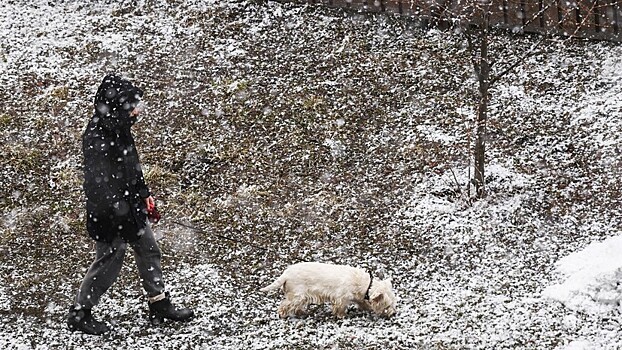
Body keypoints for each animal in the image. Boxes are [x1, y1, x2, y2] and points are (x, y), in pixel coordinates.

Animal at [260, 262, 398, 318]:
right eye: (388, 305)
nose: (394, 313)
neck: (365, 285)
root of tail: (286, 274)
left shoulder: (359, 297)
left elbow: (364, 304)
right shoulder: (341, 298)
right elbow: (340, 308)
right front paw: (342, 315)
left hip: (301, 296)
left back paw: (301, 312)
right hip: (296, 295)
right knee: (285, 305)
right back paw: (283, 314)